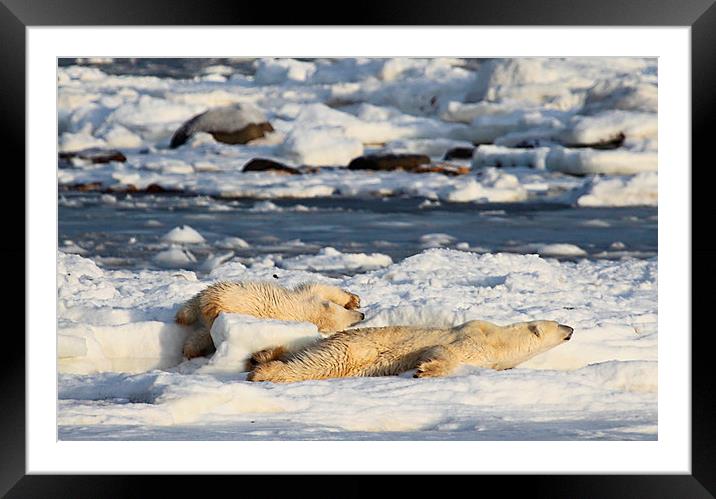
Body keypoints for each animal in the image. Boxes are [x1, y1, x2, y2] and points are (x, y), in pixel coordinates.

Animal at [174, 282, 364, 360]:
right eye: (348, 320)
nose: (362, 316)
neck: (307, 313)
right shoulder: (307, 297)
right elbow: (323, 288)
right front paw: (354, 299)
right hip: (228, 294)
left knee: (203, 331)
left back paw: (189, 349)